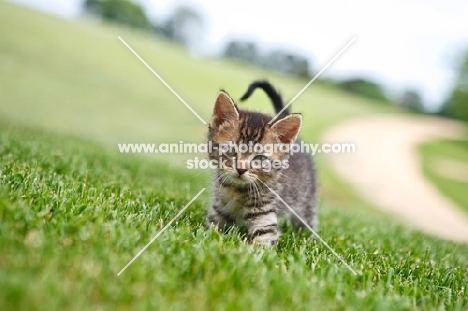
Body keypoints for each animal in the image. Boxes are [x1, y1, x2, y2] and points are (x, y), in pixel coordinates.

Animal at [206, 80, 318, 246]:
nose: (241, 169)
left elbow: (261, 244)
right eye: (232, 151)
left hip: (306, 200)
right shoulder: (220, 209)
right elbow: (211, 229)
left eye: (259, 158)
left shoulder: (265, 215)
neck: (236, 190)